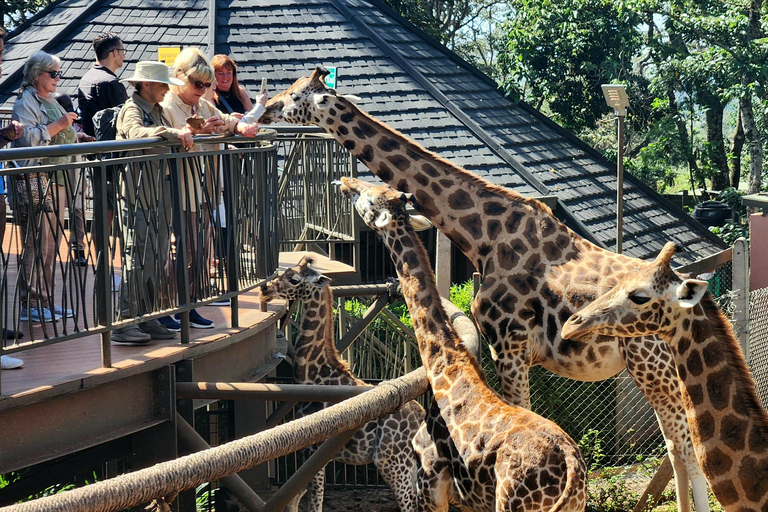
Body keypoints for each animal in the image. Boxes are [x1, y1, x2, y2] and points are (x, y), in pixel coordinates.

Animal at [260, 256, 424, 512]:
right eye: (283, 272)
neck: (313, 376)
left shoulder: (315, 449)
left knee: (409, 503)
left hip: (392, 461)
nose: (265, 288)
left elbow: (315, 502)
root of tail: (420, 415)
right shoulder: (308, 454)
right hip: (409, 463)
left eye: (294, 279)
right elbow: (293, 500)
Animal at [338, 176, 588, 512]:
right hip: (574, 505)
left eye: (368, 197)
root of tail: (572, 469)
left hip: (510, 503)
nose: (345, 182)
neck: (444, 371)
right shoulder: (467, 501)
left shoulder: (429, 484)